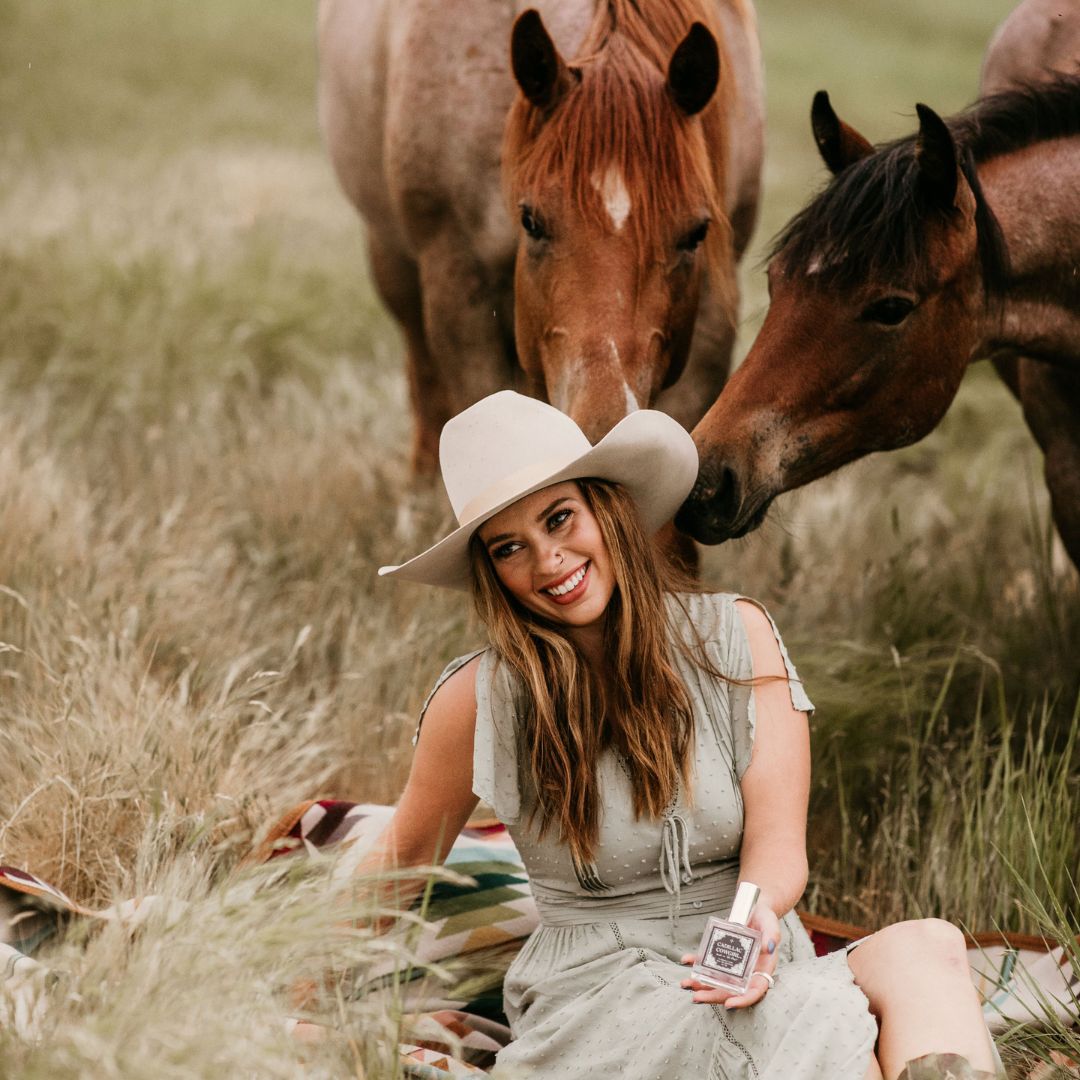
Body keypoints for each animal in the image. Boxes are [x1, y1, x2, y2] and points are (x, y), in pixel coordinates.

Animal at [315, 1, 764, 473]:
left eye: (696, 233)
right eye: (530, 222)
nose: (606, 434)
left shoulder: (711, 312)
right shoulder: (457, 286)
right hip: (394, 260)